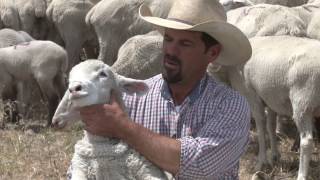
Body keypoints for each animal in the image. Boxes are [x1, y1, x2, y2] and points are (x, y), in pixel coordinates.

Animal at [225, 34, 320, 179]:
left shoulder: (251, 95)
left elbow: (261, 127)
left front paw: (261, 162)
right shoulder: (270, 99)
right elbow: (271, 127)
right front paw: (274, 156)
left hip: (302, 103)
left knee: (306, 141)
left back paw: (301, 175)